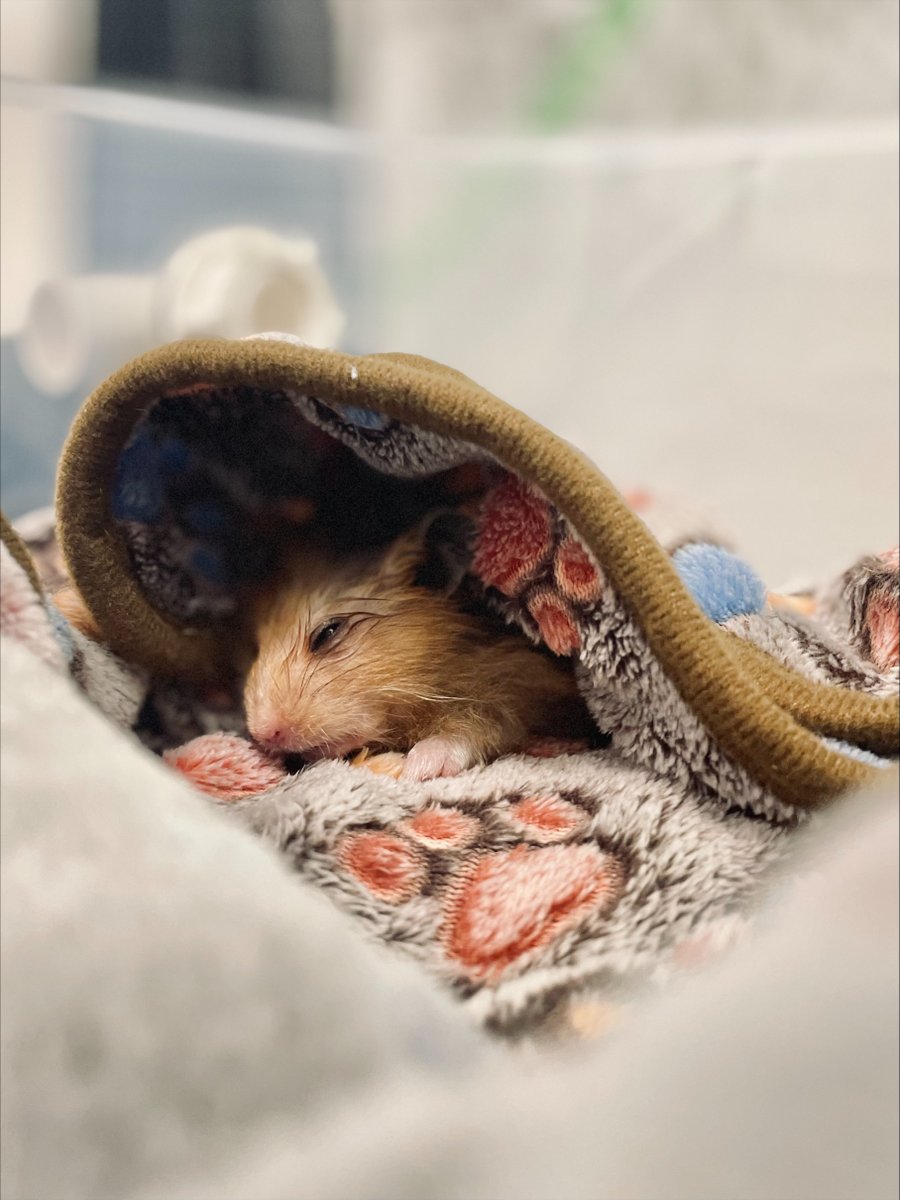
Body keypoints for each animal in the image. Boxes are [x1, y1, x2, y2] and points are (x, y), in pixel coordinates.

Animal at [243, 516, 594, 781]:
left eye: (327, 633)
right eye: (256, 646)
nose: (261, 735)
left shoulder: (508, 690)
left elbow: (473, 727)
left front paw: (414, 767)